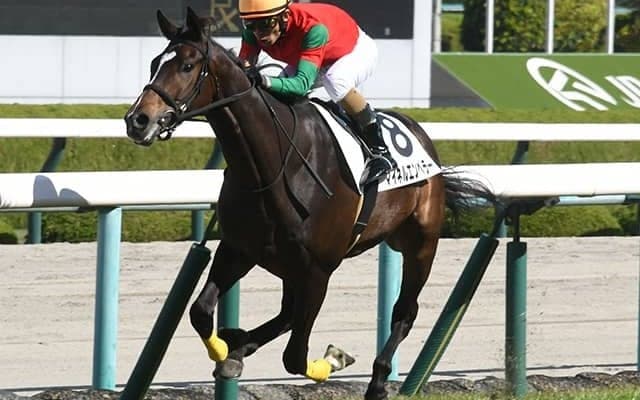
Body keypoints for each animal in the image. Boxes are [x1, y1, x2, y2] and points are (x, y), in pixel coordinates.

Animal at [124, 7, 494, 400]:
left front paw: (334, 359)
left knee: (404, 311)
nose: (138, 120)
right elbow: (200, 311)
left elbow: (295, 358)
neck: (272, 165)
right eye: (154, 63)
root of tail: (422, 136)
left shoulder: (318, 270)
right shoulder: (241, 248)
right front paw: (228, 349)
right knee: (288, 313)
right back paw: (240, 344)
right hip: (290, 263)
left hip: (421, 244)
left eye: (187, 66)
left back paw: (379, 380)